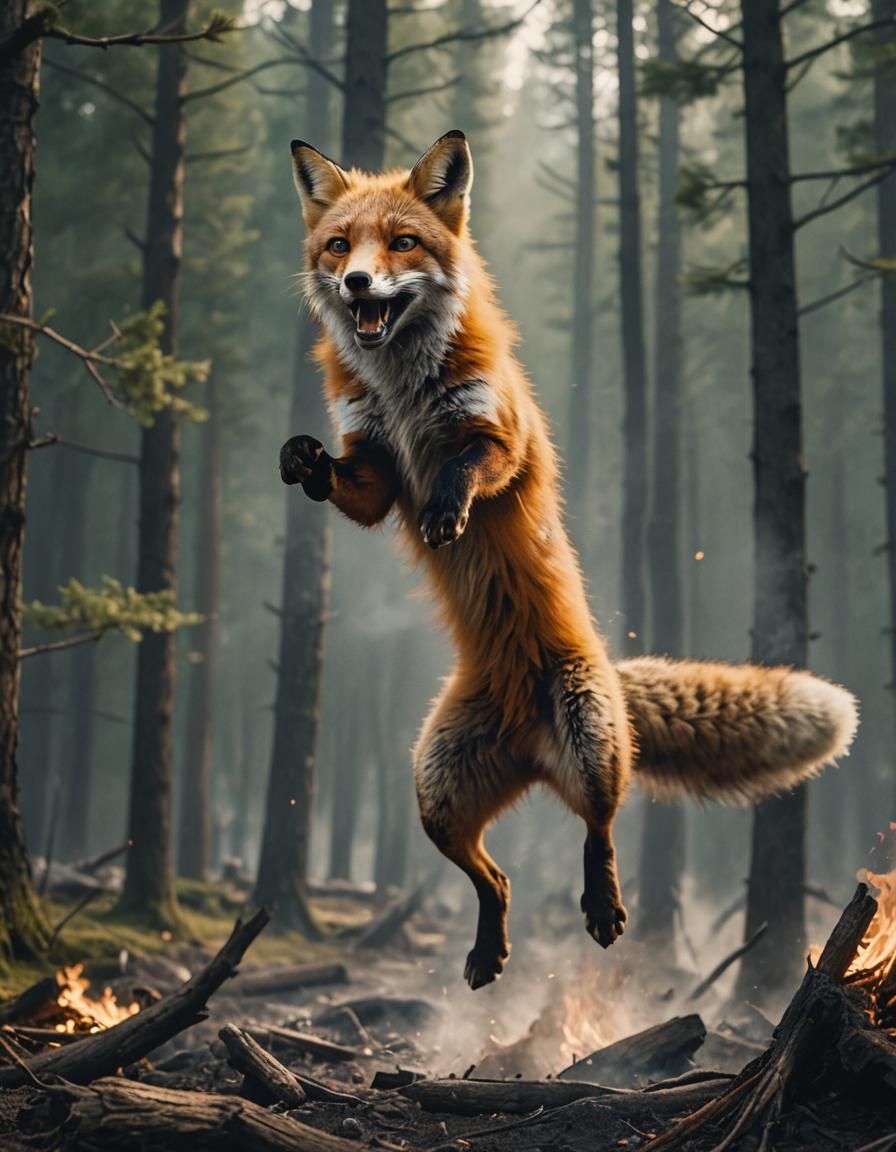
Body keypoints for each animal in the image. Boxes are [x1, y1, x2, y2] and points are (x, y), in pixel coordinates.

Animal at [280, 130, 859, 990]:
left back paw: (604, 907)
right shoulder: (376, 470)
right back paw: (488, 951)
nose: (356, 283)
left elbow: (467, 467)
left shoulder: (501, 438)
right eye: (340, 245)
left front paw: (447, 510)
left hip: (590, 736)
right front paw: (302, 460)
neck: (404, 391)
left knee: (602, 827)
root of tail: (532, 750)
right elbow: (348, 482)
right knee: (496, 876)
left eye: (403, 243)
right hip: (434, 791)